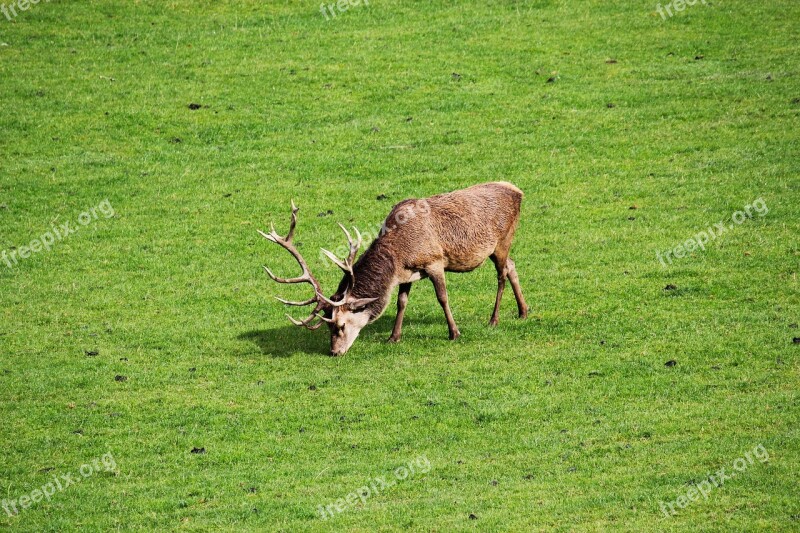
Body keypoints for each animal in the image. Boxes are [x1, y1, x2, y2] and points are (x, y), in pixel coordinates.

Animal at [260, 181, 528, 356]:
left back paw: (494, 319)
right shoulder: (407, 274)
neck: (400, 253)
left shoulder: (435, 261)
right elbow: (401, 302)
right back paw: (523, 311)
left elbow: (442, 297)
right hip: (498, 248)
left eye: (340, 325)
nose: (334, 352)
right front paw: (393, 337)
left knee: (502, 275)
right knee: (512, 265)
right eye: (326, 325)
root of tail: (518, 191)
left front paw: (454, 333)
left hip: (503, 240)